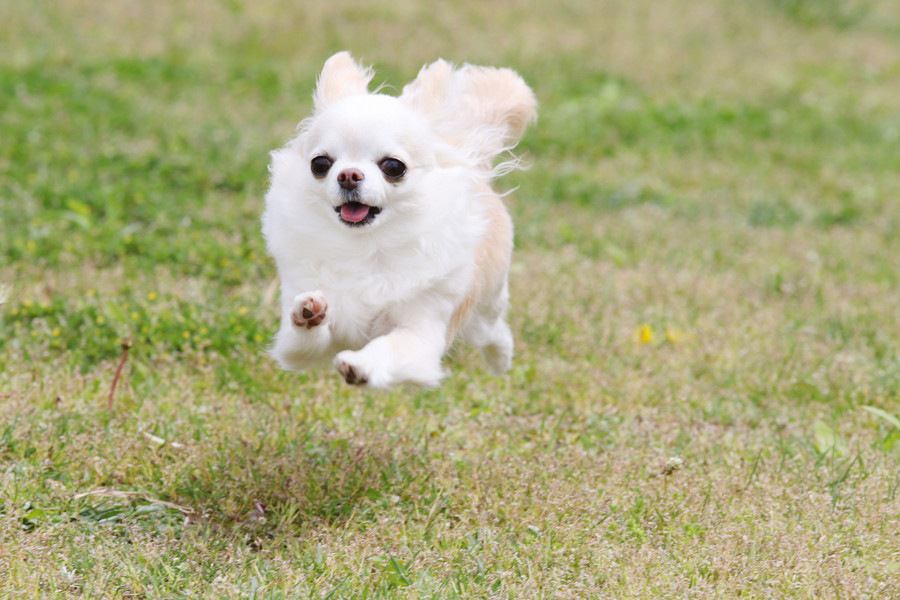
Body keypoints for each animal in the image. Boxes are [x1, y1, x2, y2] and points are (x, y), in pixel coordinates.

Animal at [264, 51, 536, 390]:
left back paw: (501, 359)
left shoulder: (420, 336)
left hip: (486, 302)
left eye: (393, 167)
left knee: (493, 331)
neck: (368, 246)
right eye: (320, 164)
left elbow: (389, 346)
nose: (348, 175)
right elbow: (303, 341)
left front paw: (361, 365)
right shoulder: (299, 348)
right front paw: (308, 313)